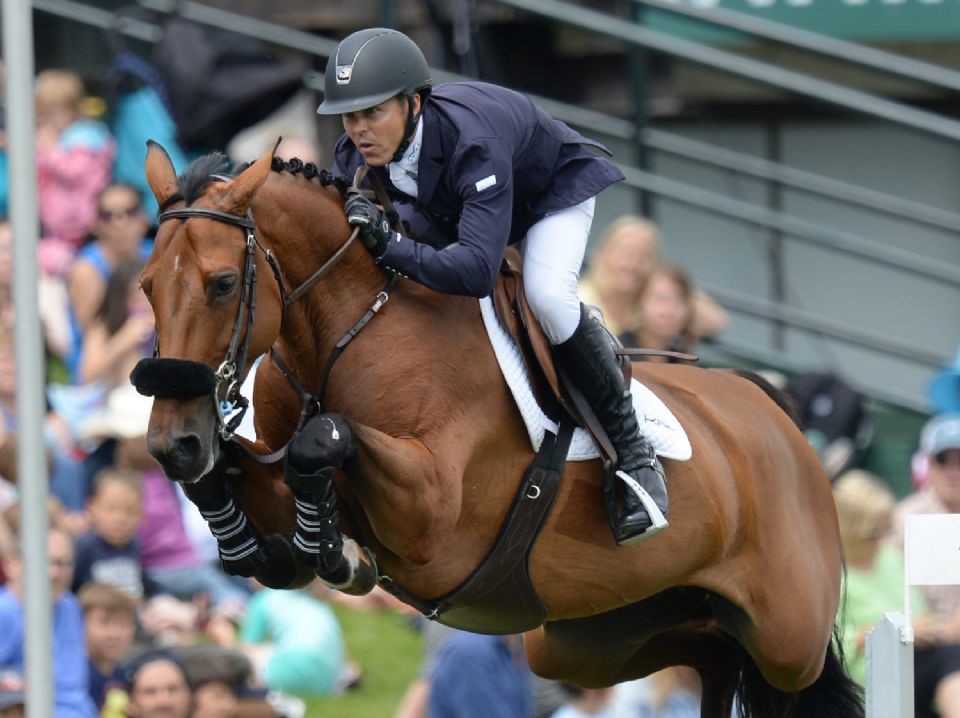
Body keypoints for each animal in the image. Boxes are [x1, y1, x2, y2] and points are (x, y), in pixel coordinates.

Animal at [135, 142, 864, 718]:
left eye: (223, 283)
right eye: (146, 287)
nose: (174, 444)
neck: (349, 329)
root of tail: (776, 414)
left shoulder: (433, 514)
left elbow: (325, 440)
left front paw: (334, 554)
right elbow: (253, 475)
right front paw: (269, 543)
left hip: (786, 641)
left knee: (780, 672)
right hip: (586, 638)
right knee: (714, 651)